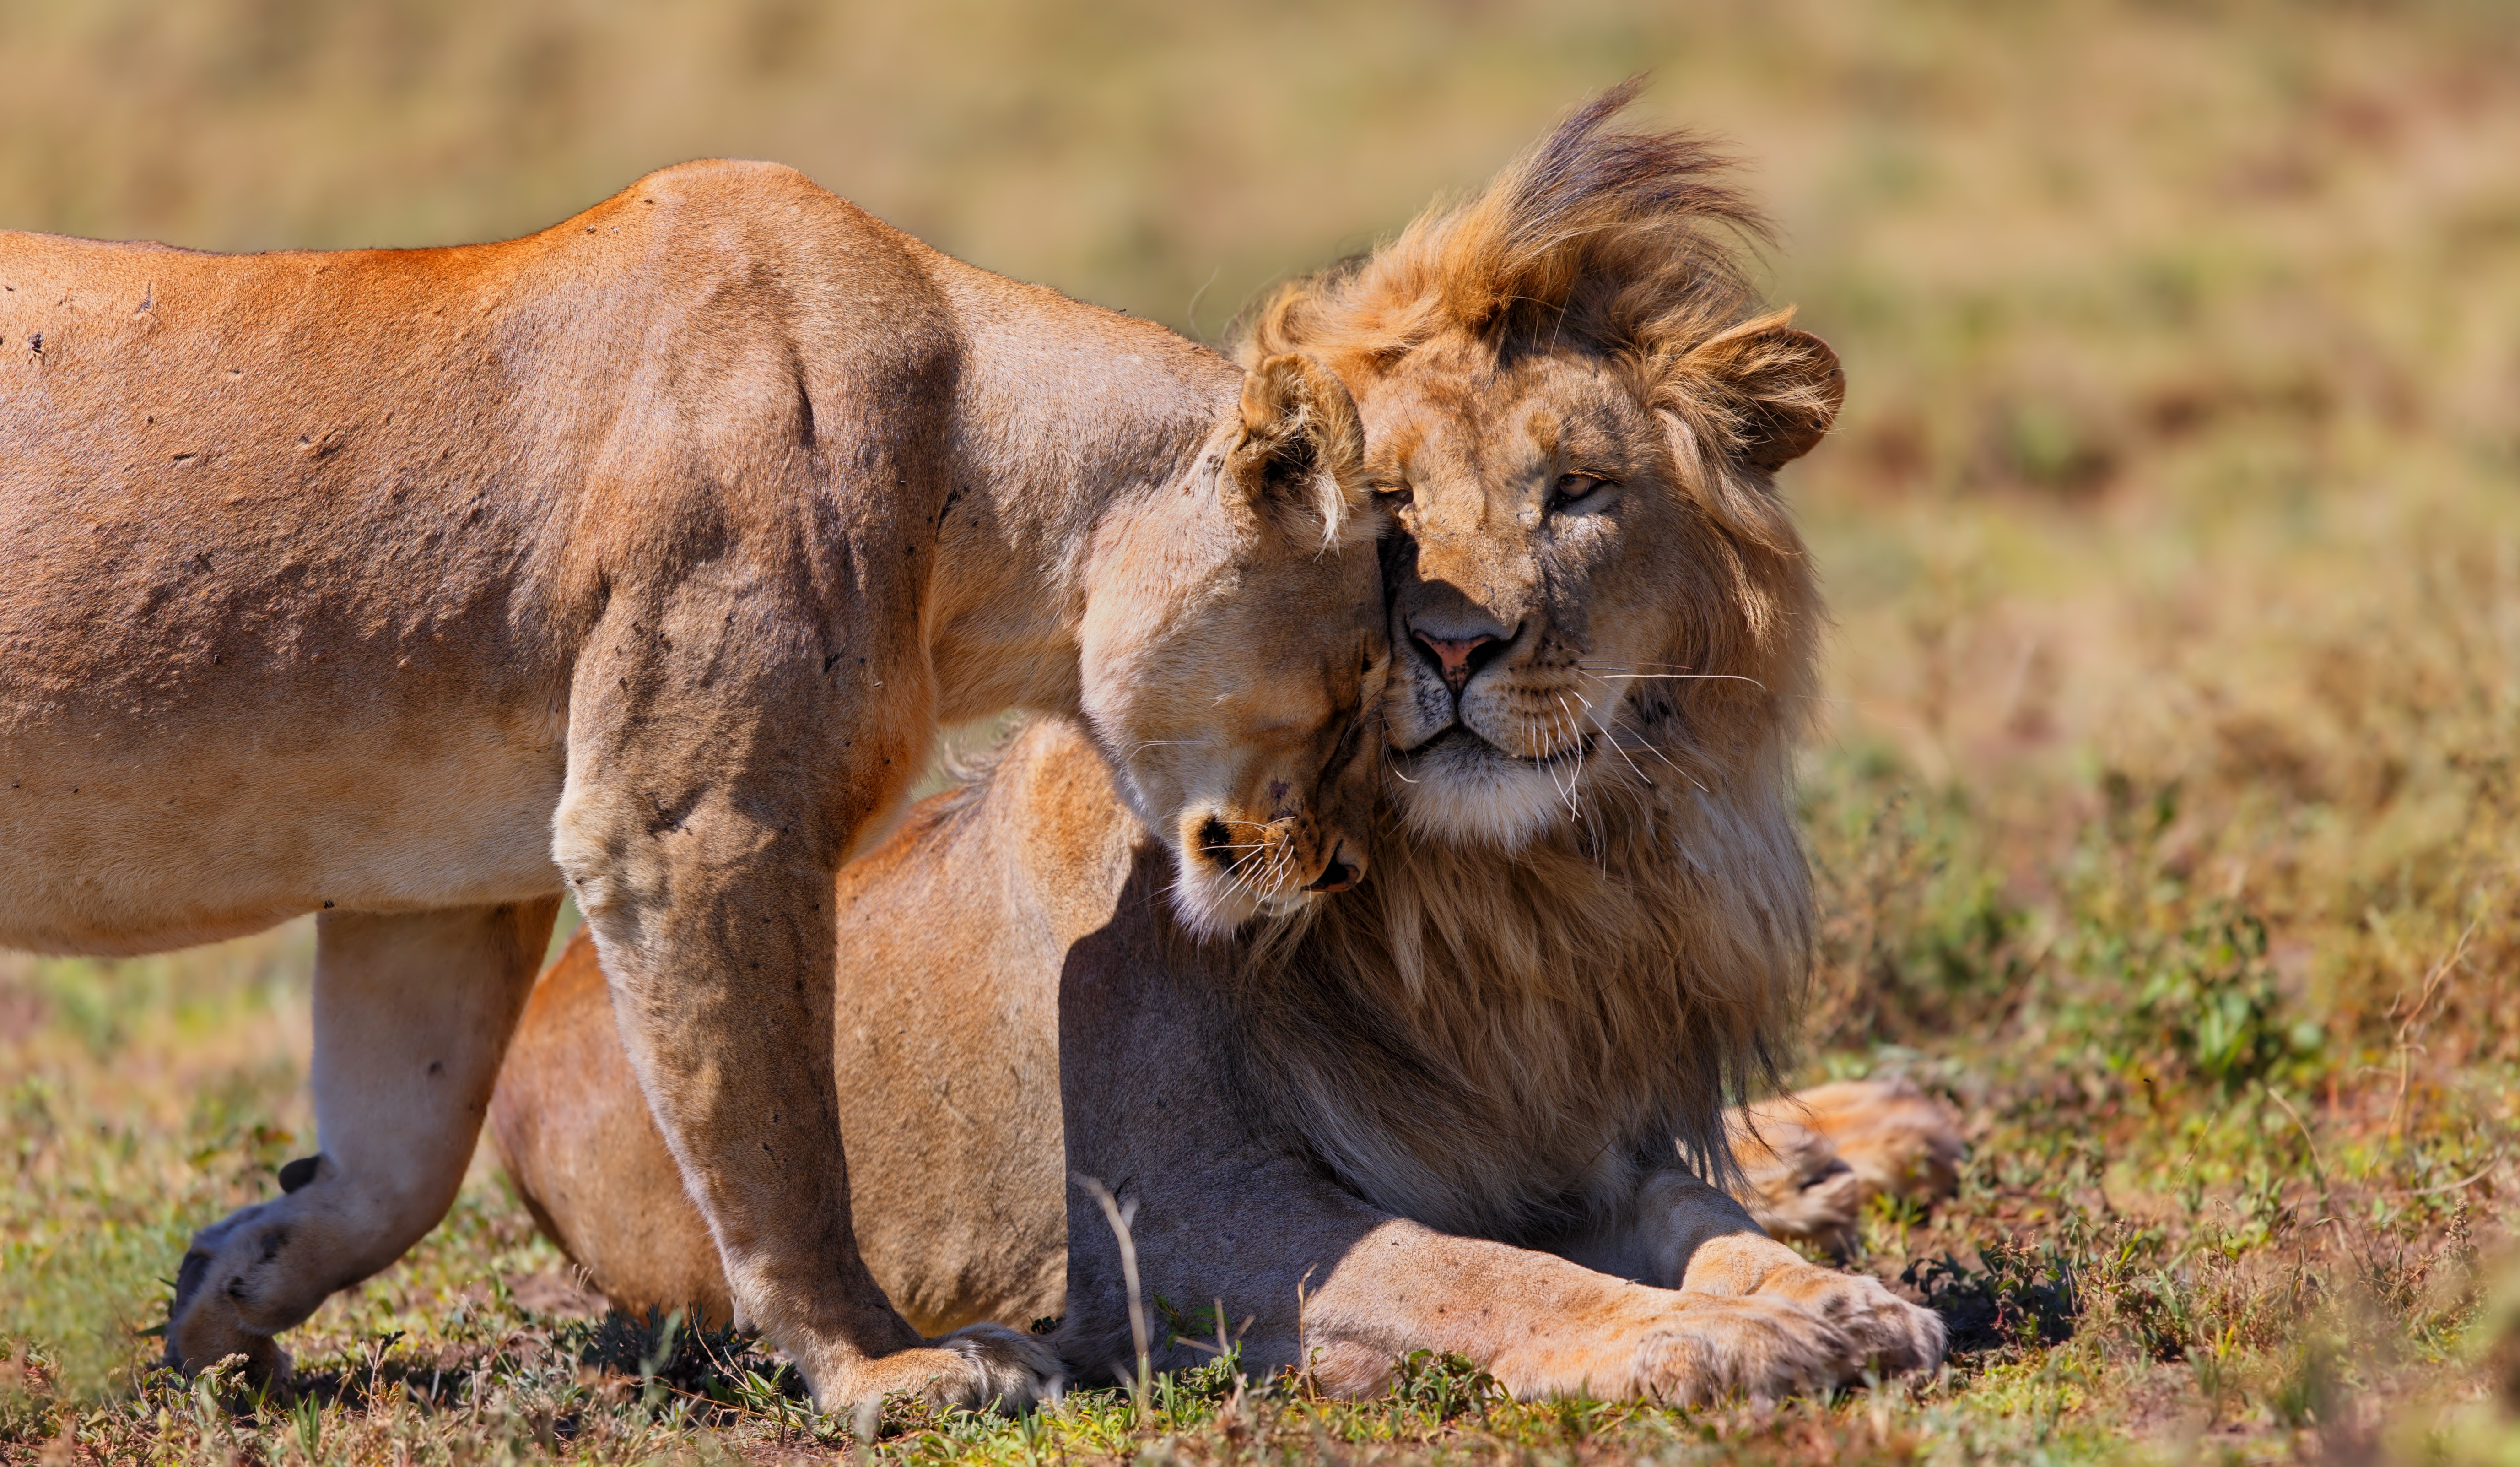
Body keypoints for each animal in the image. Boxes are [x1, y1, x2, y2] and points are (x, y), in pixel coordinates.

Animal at [0, 161, 1401, 1411]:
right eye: (1359, 688)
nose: (1343, 866)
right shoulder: (690, 829)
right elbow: (778, 1136)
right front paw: (888, 1365)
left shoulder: (435, 885)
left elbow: (401, 1155)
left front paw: (227, 1289)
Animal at [491, 97, 1945, 1411]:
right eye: (1391, 503)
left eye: (1579, 491)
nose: (1455, 644)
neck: (1498, 904)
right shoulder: (1164, 1219)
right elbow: (1468, 1268)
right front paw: (1696, 1335)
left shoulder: (1566, 1139)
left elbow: (1700, 1217)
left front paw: (1830, 1297)